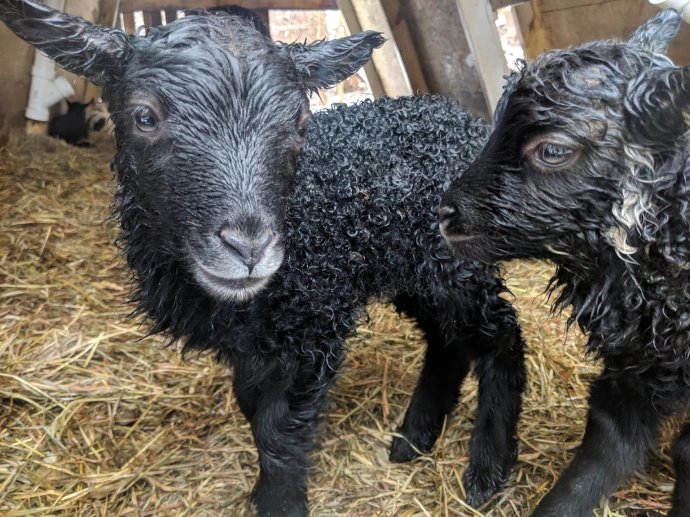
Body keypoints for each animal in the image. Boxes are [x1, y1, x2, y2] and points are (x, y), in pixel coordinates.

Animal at [0, 1, 526, 515]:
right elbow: (249, 405)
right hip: (414, 266)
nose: (249, 247)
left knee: (501, 336)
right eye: (144, 117)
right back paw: (414, 437)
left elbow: (278, 432)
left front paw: (280, 502)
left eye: (299, 123)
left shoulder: (312, 322)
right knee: (448, 341)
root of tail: (454, 116)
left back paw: (486, 469)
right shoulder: (253, 341)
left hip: (455, 265)